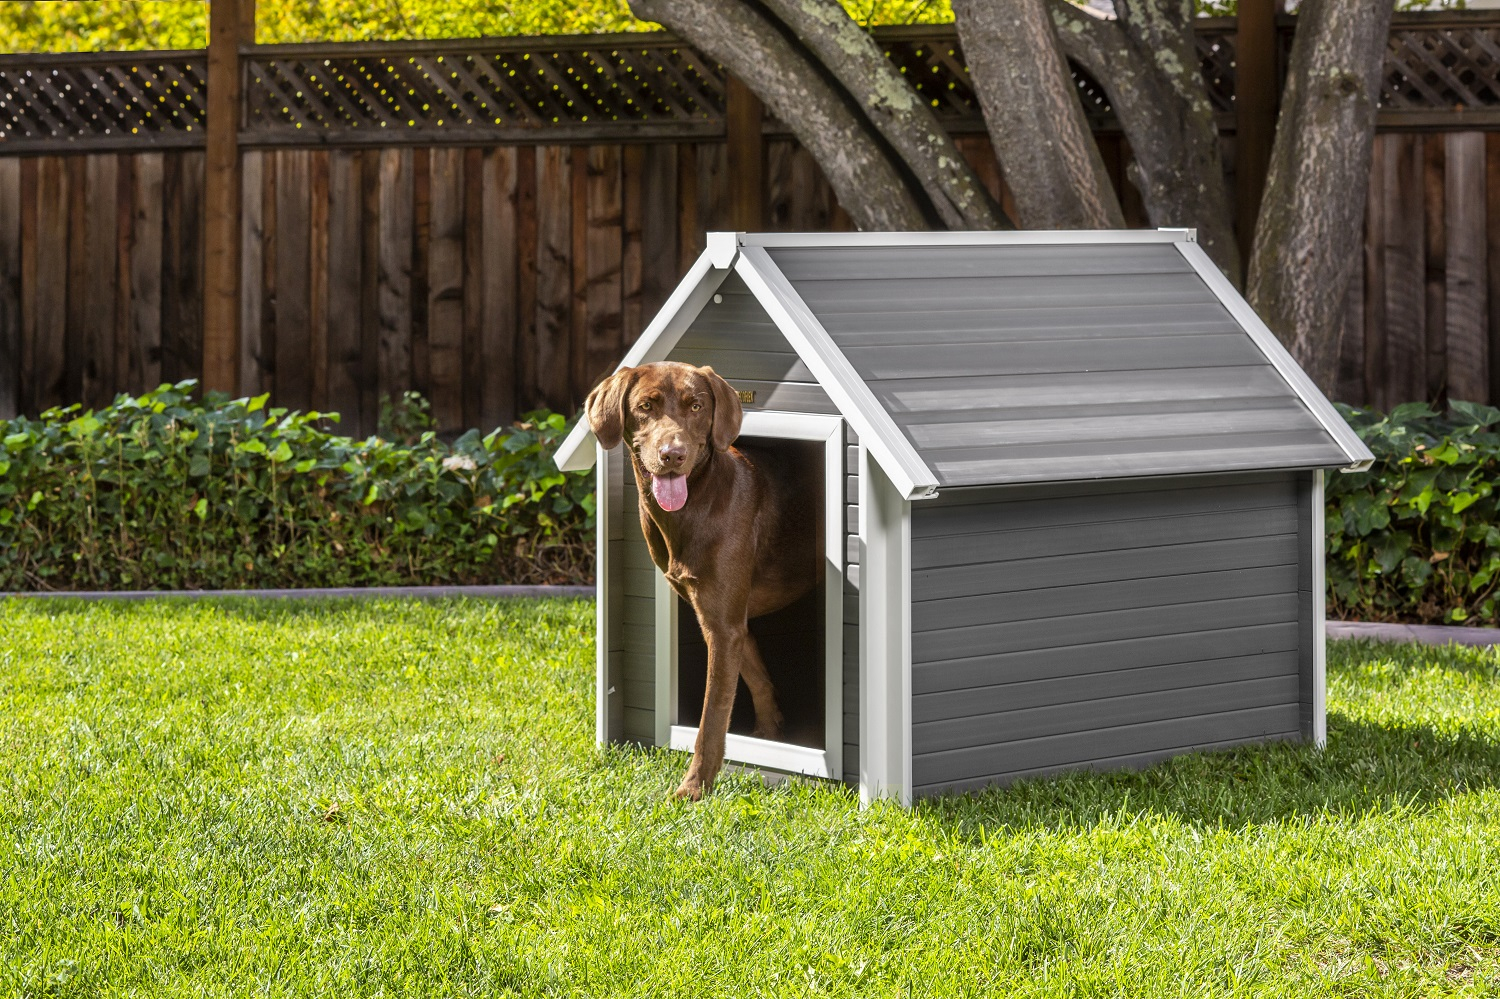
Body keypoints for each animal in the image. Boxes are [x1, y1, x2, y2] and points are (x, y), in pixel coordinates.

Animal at [585, 361, 822, 798]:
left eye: (696, 406)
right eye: (645, 406)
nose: (673, 454)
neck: (694, 506)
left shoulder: (723, 626)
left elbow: (712, 718)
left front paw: (693, 789)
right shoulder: (728, 621)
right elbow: (758, 681)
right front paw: (768, 737)